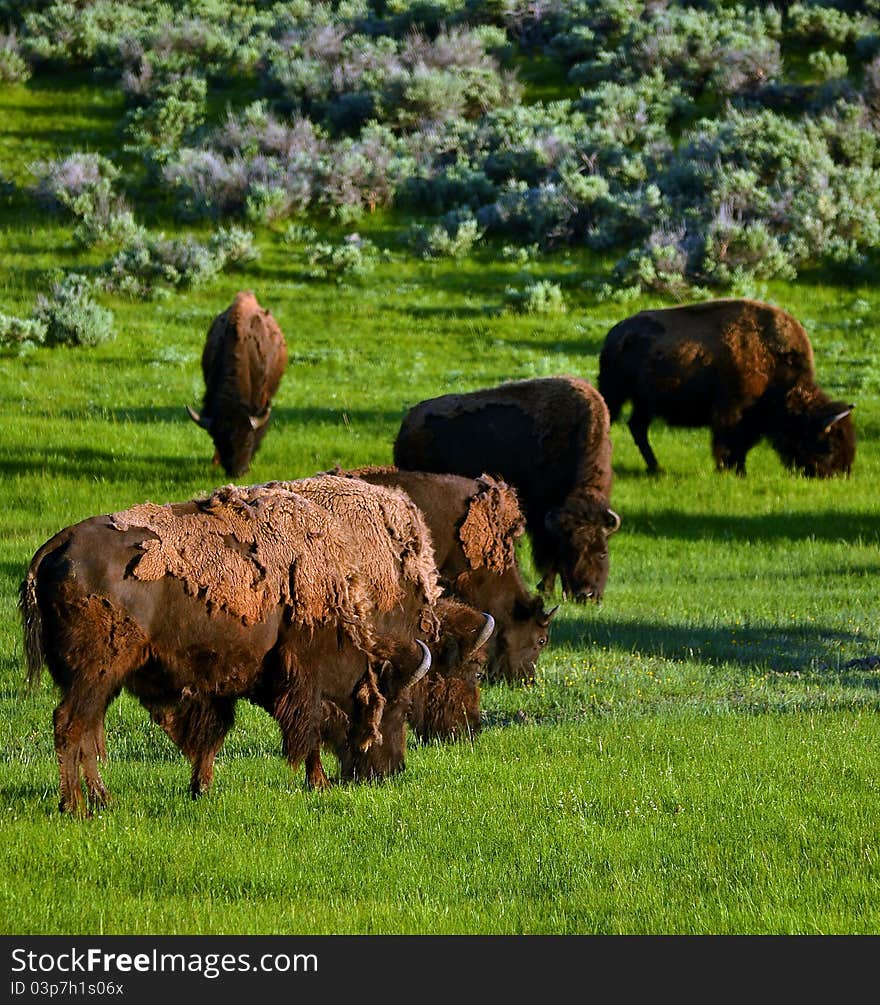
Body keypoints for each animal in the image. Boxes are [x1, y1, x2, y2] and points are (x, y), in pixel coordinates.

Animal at [18, 474, 488, 812]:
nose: (391, 770)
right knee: (71, 725)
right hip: (95, 675)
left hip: (98, 681)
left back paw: (101, 800)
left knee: (87, 730)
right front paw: (318, 784)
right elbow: (307, 731)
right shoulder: (302, 678)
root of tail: (56, 546)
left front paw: (201, 788)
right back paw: (76, 806)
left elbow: (212, 734)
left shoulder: (214, 687)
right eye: (397, 706)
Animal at [594, 295, 855, 476]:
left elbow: (743, 446)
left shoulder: (751, 420)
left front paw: (739, 470)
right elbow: (728, 443)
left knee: (637, 427)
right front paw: (728, 470)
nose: (840, 474)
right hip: (615, 393)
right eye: (827, 445)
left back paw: (657, 468)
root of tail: (616, 333)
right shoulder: (730, 411)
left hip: (644, 402)